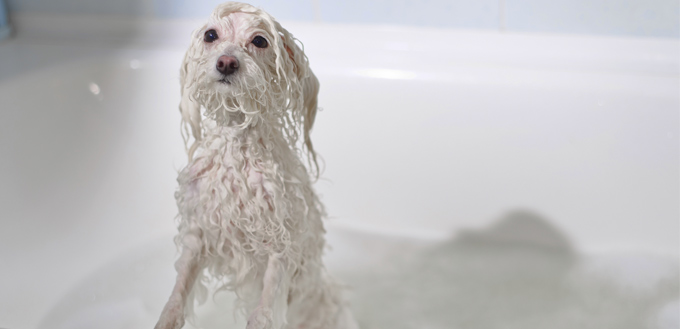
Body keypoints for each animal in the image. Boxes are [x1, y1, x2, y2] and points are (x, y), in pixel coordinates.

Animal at [153, 2, 356, 328]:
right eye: (211, 35)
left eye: (259, 41)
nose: (226, 62)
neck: (237, 152)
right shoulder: (199, 231)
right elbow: (180, 288)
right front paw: (168, 316)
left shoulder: (280, 237)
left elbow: (267, 300)